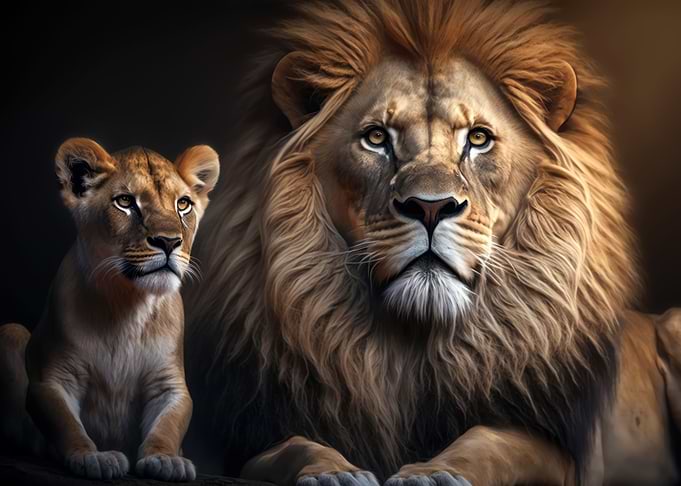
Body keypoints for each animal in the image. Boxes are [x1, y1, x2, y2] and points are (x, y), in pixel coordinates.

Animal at [0, 138, 220, 481]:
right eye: (125, 201)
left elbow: (168, 425)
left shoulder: (168, 384)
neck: (128, 305)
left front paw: (166, 459)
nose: (169, 242)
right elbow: (66, 423)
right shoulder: (53, 380)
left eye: (183, 204)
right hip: (10, 332)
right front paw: (93, 458)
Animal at [184, 1, 681, 485]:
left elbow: (490, 439)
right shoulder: (255, 441)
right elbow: (295, 445)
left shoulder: (557, 449)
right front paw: (333, 472)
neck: (415, 344)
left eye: (478, 138)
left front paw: (434, 471)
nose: (430, 207)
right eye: (376, 138)